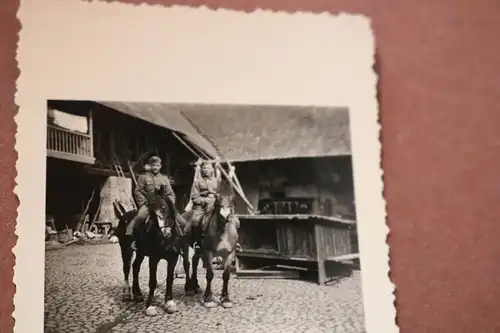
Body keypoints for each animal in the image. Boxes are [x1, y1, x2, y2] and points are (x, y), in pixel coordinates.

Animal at [113, 188, 186, 316]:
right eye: (151, 213)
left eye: (164, 208)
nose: (166, 234)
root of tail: (124, 215)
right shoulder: (153, 259)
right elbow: (153, 282)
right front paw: (150, 306)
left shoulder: (173, 259)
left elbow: (170, 279)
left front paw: (169, 303)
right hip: (126, 250)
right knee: (127, 268)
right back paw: (127, 293)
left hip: (140, 253)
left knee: (135, 267)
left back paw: (137, 294)